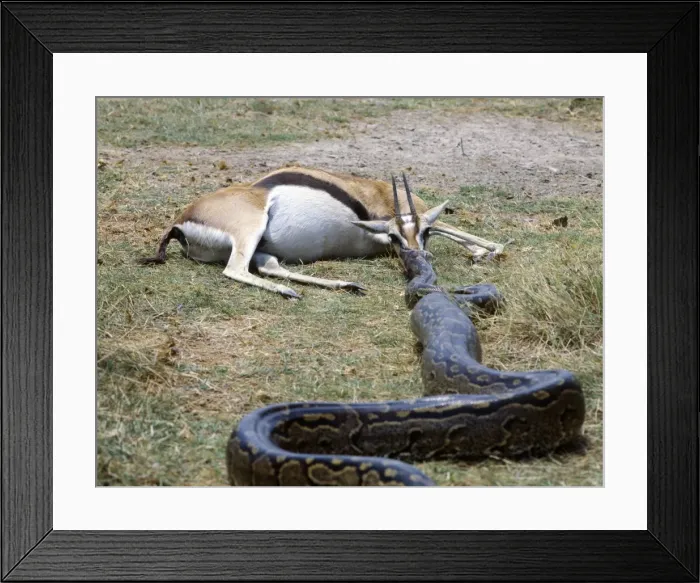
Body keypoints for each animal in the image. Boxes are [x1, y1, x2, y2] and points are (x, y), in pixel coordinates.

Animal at [139, 167, 504, 298]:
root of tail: (180, 220)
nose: (416, 255)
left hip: (262, 246)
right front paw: (486, 251)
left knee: (269, 266)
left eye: (422, 232)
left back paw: (346, 285)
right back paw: (290, 293)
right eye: (394, 237)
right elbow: (459, 229)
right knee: (236, 270)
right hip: (249, 230)